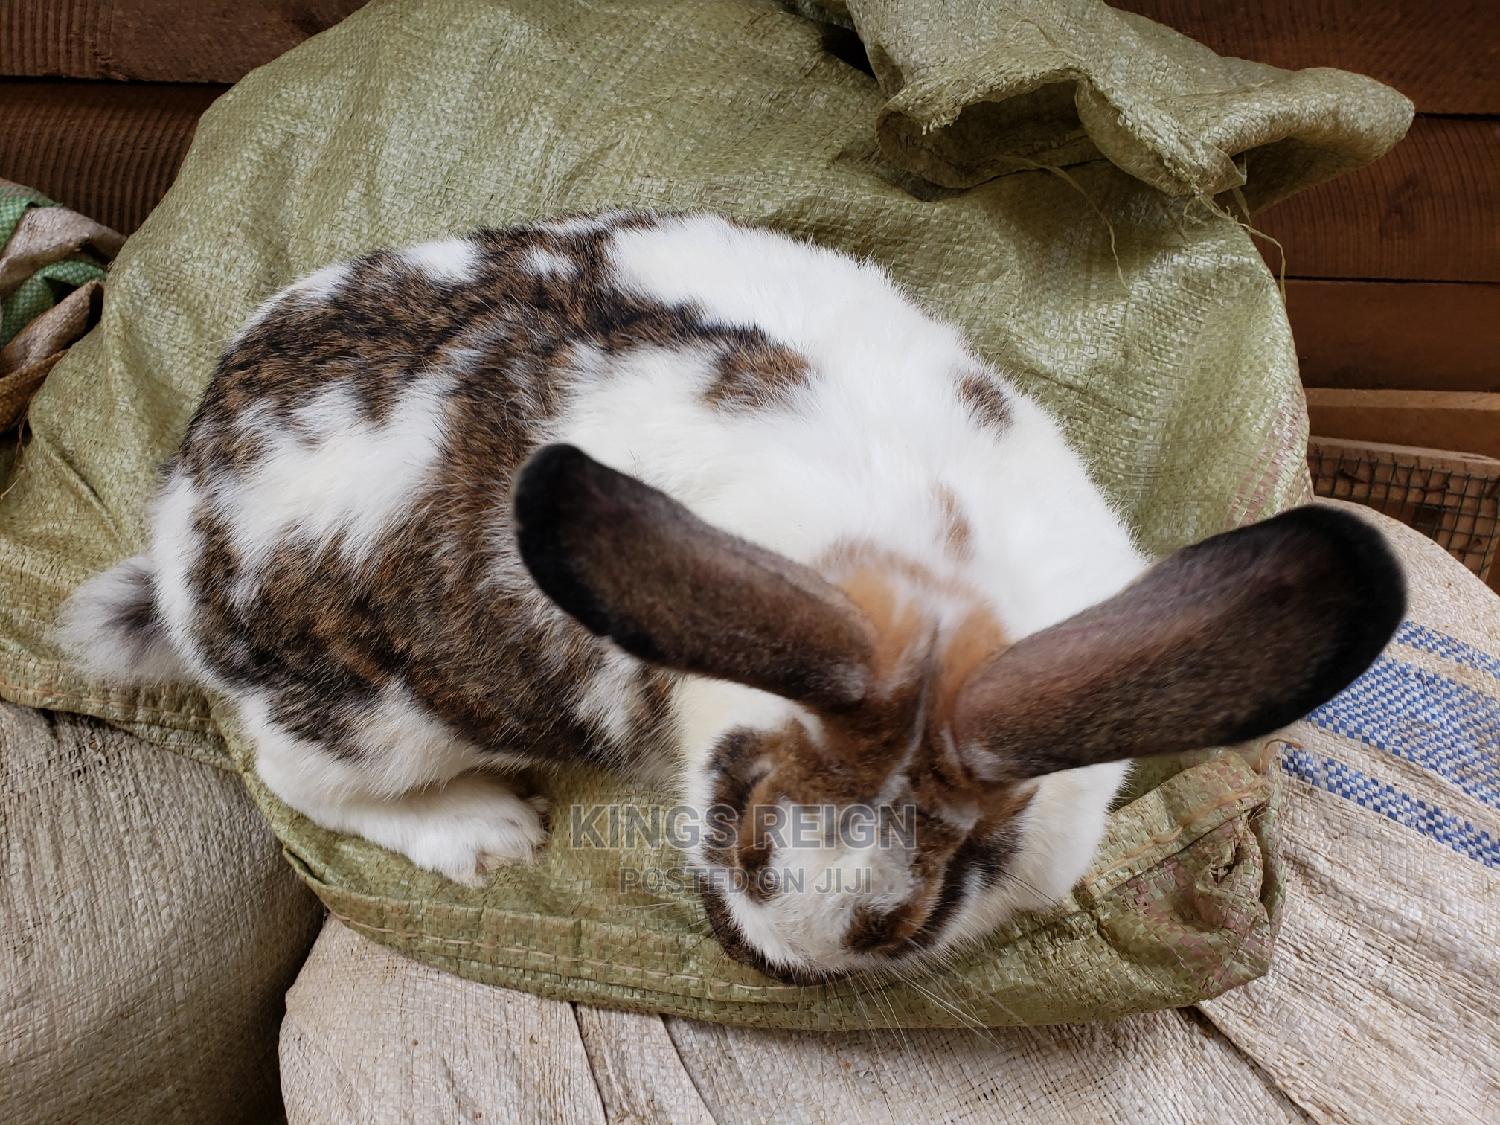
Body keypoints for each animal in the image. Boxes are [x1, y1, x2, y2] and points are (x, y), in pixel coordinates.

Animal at [60, 210, 1405, 982]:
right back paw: (485, 831)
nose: (769, 962)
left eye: (926, 905)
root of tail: (179, 541)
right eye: (741, 816)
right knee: (301, 785)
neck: (930, 592)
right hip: (376, 722)